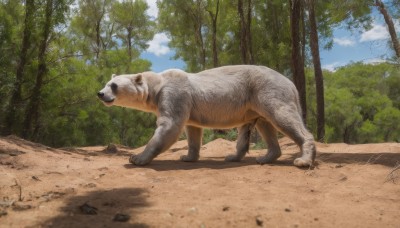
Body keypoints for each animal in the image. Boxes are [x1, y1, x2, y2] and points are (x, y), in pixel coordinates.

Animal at [97, 65, 316, 167]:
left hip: (268, 90)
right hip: (255, 100)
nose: (100, 94)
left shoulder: (174, 93)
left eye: (113, 86)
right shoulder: (187, 103)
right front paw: (187, 156)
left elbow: (169, 125)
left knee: (282, 116)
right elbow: (192, 130)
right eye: (106, 83)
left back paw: (302, 160)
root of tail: (291, 84)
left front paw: (137, 158)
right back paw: (258, 157)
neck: (158, 84)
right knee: (264, 124)